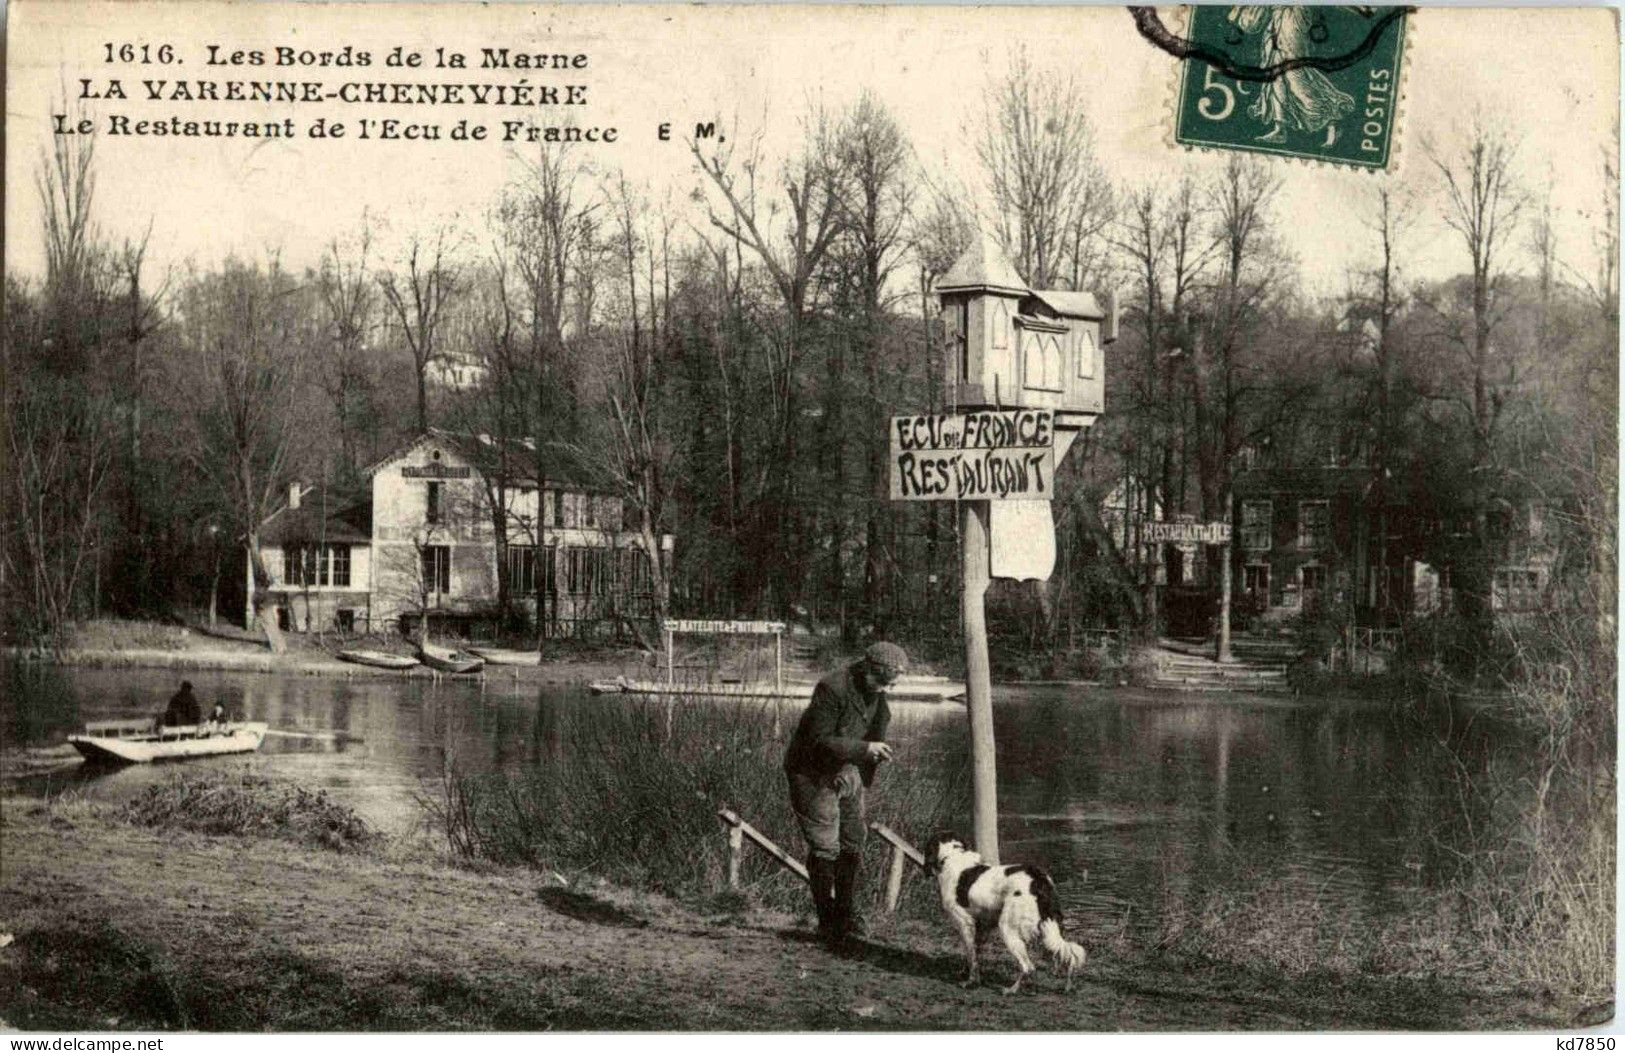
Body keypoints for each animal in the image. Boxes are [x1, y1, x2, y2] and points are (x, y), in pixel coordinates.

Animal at [936, 832, 1085, 994]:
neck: (953, 856)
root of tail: (1038, 879)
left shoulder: (965, 923)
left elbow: (971, 956)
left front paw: (970, 981)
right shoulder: (983, 925)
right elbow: (974, 953)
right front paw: (967, 974)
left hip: (1007, 928)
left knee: (1028, 967)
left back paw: (1011, 990)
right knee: (1066, 955)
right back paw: (1068, 987)